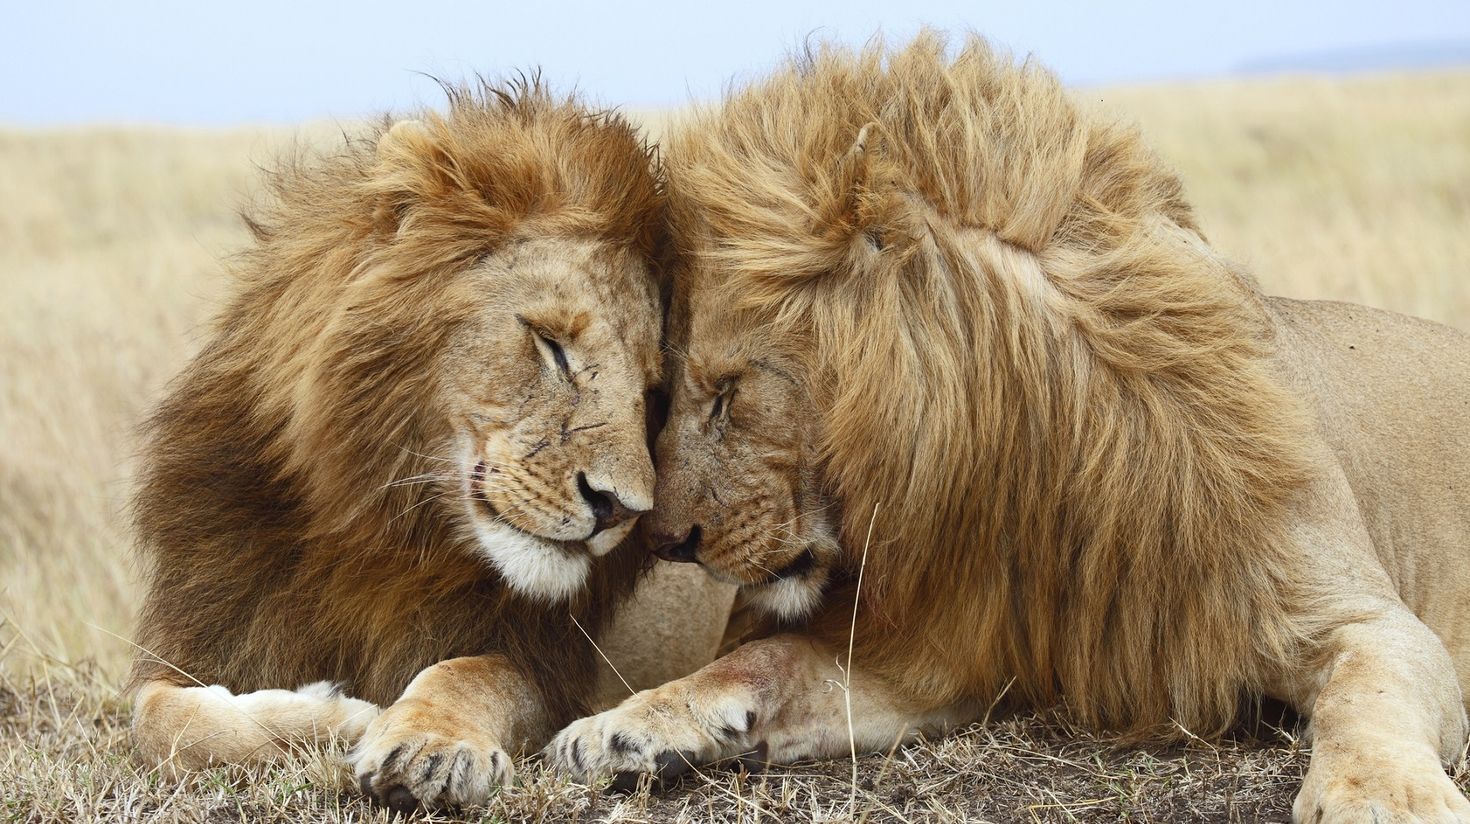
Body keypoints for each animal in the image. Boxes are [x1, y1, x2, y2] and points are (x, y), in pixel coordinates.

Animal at [128, 79, 732, 812]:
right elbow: (157, 719)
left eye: (650, 393)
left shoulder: (547, 665)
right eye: (551, 345)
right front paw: (334, 716)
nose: (621, 508)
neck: (378, 527)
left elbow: (466, 672)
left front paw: (424, 744)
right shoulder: (205, 634)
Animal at [547, 36, 1470, 822]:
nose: (664, 540)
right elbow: (765, 660)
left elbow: (1366, 698)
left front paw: (1380, 798)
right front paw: (622, 726)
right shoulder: (943, 652)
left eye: (729, 393)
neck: (1033, 458)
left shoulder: (1362, 618)